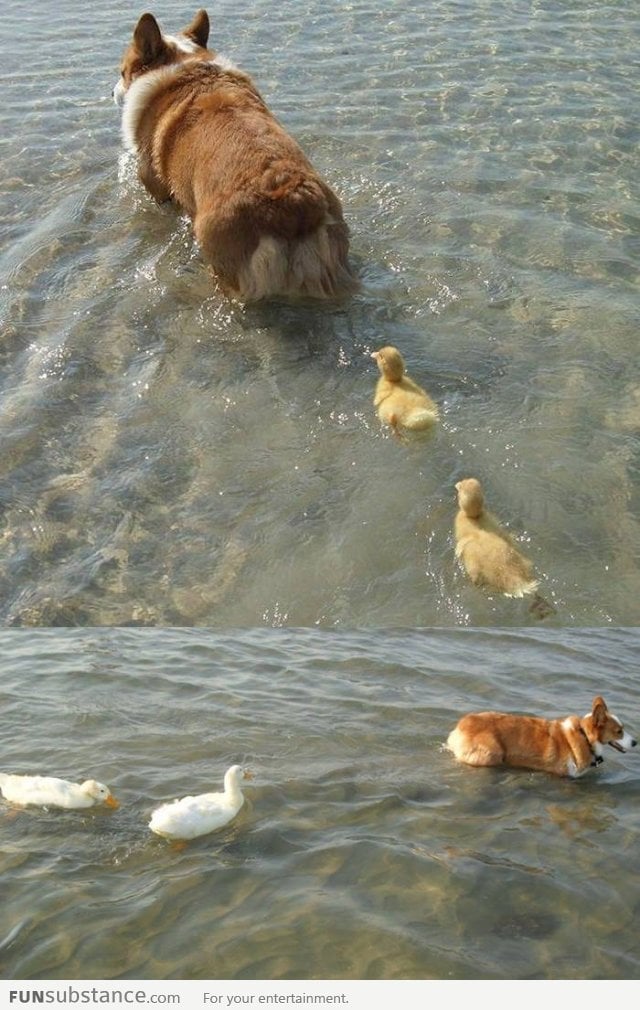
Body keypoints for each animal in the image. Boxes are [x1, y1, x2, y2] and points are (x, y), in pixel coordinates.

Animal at [446, 694, 633, 779]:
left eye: (623, 728)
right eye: (619, 731)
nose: (635, 742)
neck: (585, 737)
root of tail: (460, 727)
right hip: (493, 753)